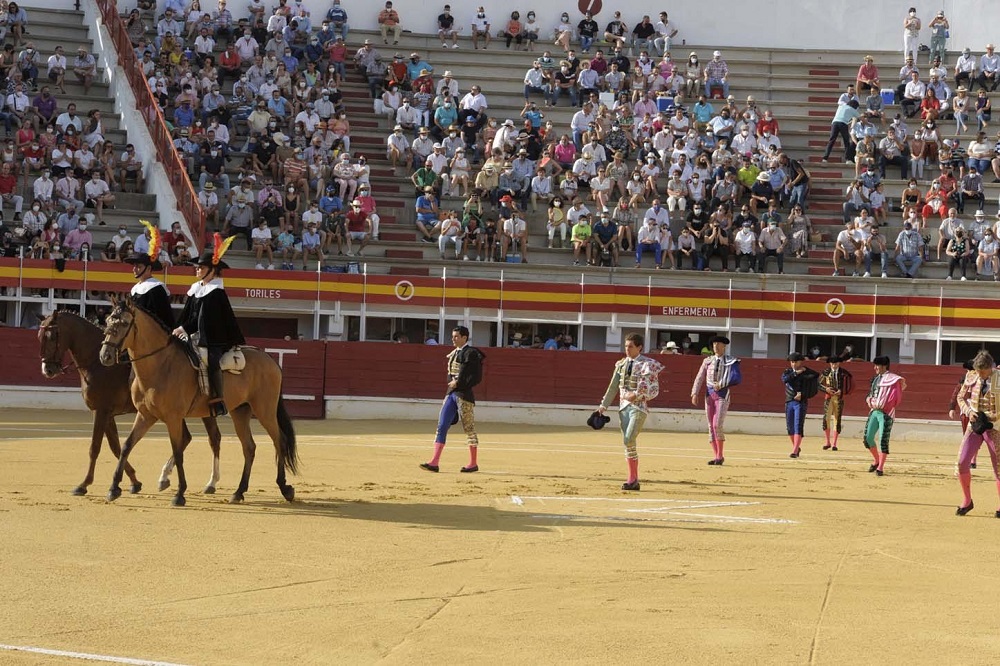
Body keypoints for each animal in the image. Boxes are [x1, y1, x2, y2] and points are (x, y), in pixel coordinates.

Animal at [39, 310, 223, 492]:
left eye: (52, 336)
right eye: (40, 337)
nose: (47, 369)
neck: (96, 364)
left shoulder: (101, 411)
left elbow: (96, 447)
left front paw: (84, 484)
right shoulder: (107, 414)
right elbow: (116, 446)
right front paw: (134, 481)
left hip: (200, 410)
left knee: (213, 438)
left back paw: (210, 482)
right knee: (187, 437)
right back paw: (165, 477)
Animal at [99, 294, 298, 506]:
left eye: (124, 323)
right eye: (108, 320)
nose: (105, 355)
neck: (161, 365)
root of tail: (269, 359)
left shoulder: (173, 418)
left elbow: (178, 450)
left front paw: (179, 494)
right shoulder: (146, 415)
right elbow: (127, 445)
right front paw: (113, 489)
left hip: (265, 410)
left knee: (279, 441)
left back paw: (284, 487)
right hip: (240, 411)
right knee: (249, 447)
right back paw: (238, 491)